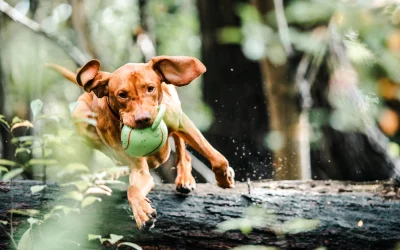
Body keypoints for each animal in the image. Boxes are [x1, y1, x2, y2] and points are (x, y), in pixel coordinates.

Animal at [49, 56, 236, 229]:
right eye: (122, 94)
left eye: (150, 88)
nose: (143, 119)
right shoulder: (138, 168)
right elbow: (133, 189)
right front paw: (142, 212)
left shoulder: (181, 122)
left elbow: (217, 158)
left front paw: (224, 178)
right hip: (81, 117)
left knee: (181, 147)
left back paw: (185, 178)